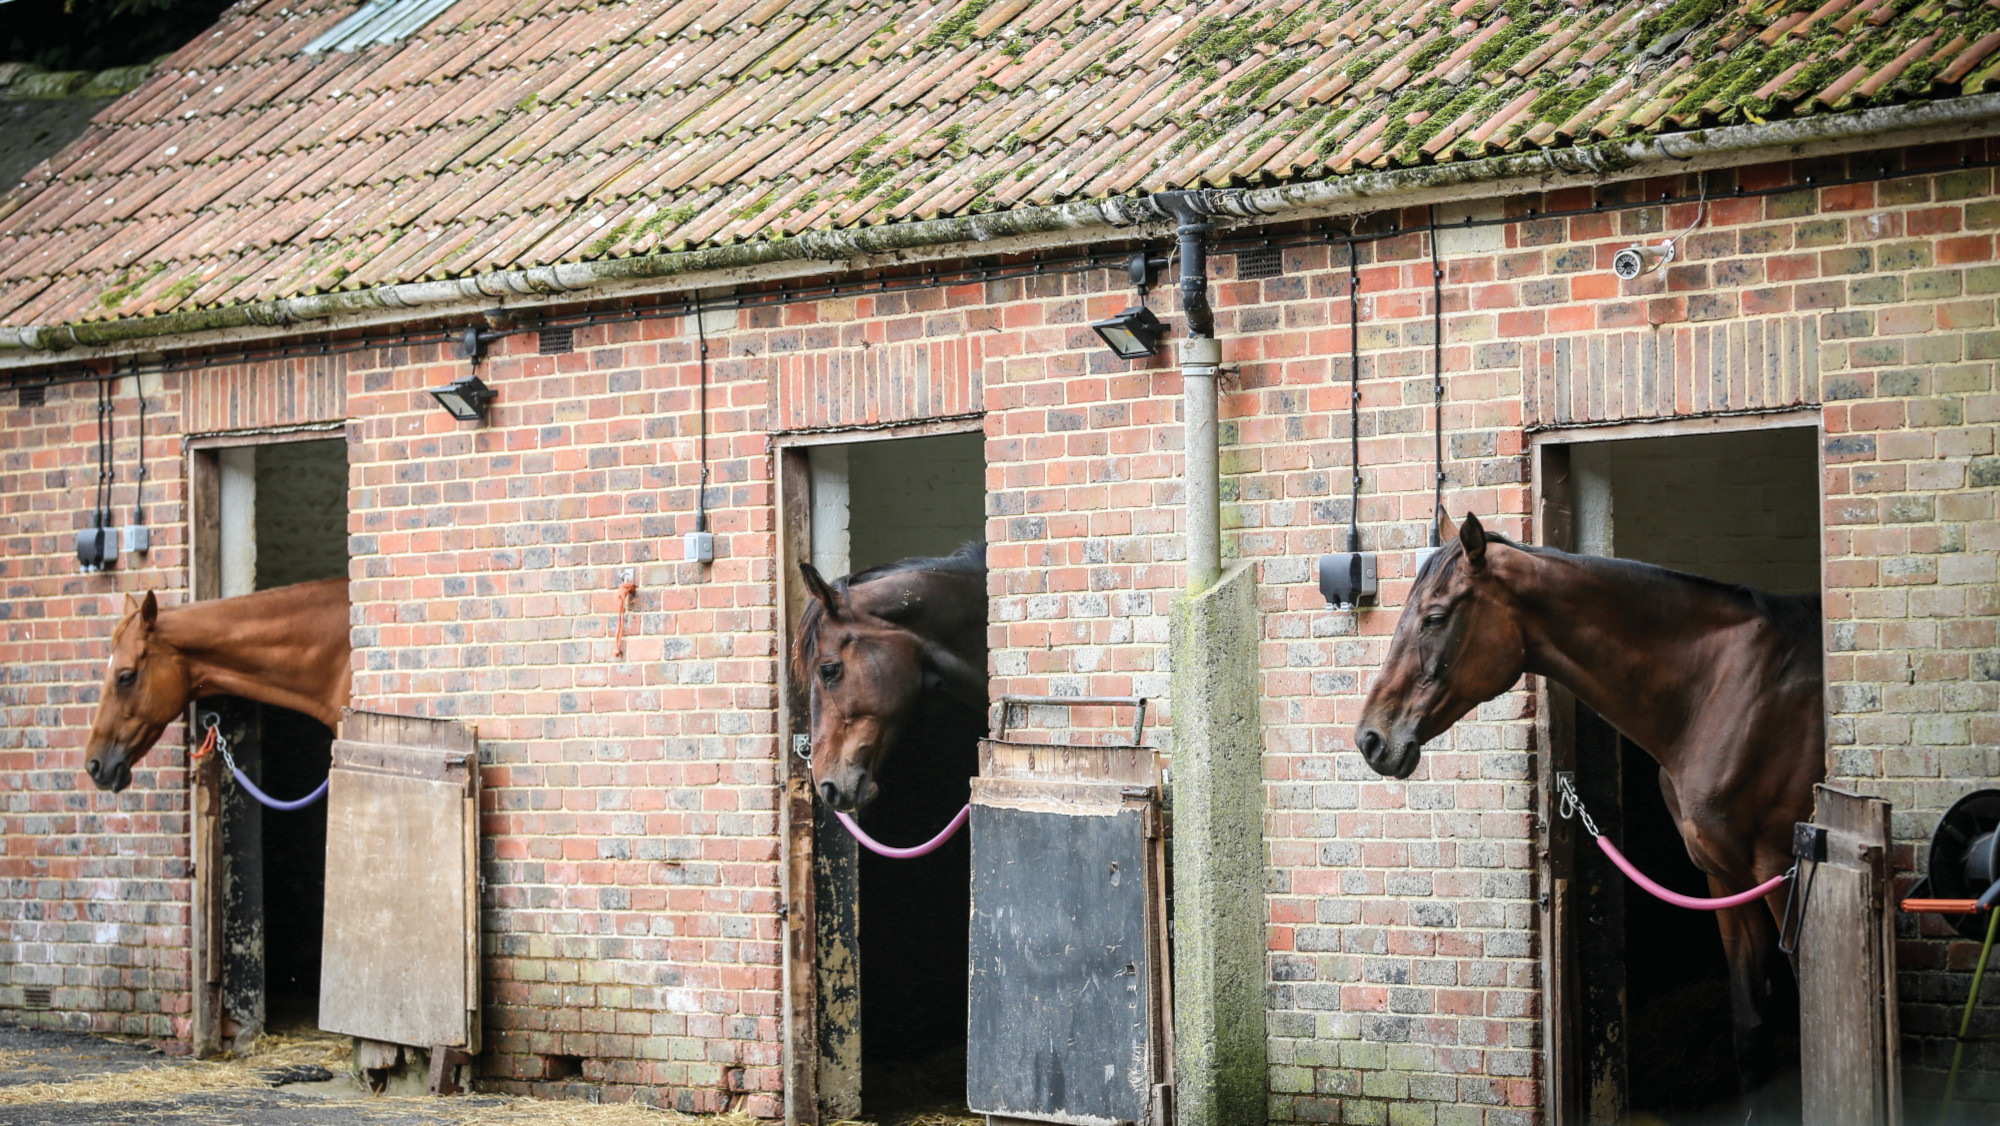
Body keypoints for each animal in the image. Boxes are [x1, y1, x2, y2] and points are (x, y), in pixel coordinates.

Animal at [1354, 510, 1823, 1099]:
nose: (1370, 738)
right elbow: (1750, 1032)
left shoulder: (1783, 877)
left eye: (1435, 617)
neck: (1723, 692)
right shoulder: (1725, 880)